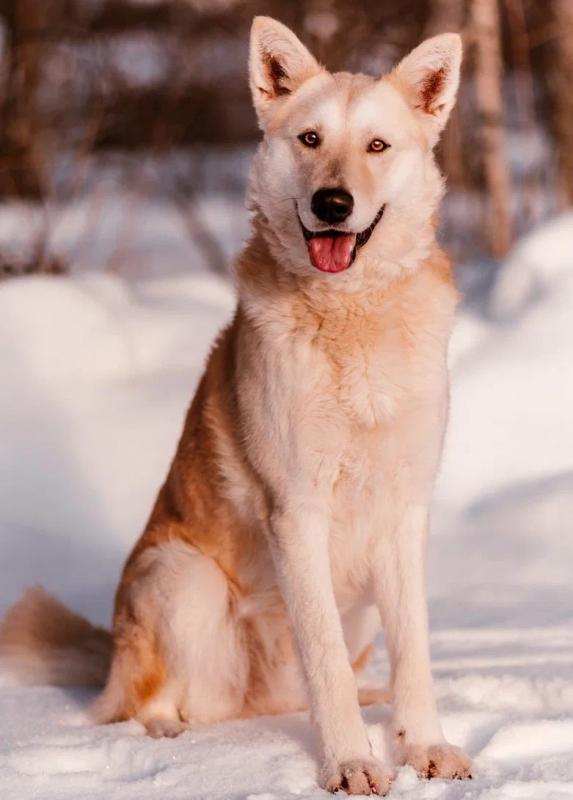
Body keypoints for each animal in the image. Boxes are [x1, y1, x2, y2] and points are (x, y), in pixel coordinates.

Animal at [0, 17, 472, 792]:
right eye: (310, 139)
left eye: (376, 146)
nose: (332, 203)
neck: (352, 320)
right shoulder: (296, 513)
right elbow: (323, 662)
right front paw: (350, 762)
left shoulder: (404, 512)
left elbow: (415, 652)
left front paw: (423, 744)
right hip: (179, 578)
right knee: (149, 701)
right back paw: (167, 739)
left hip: (355, 610)